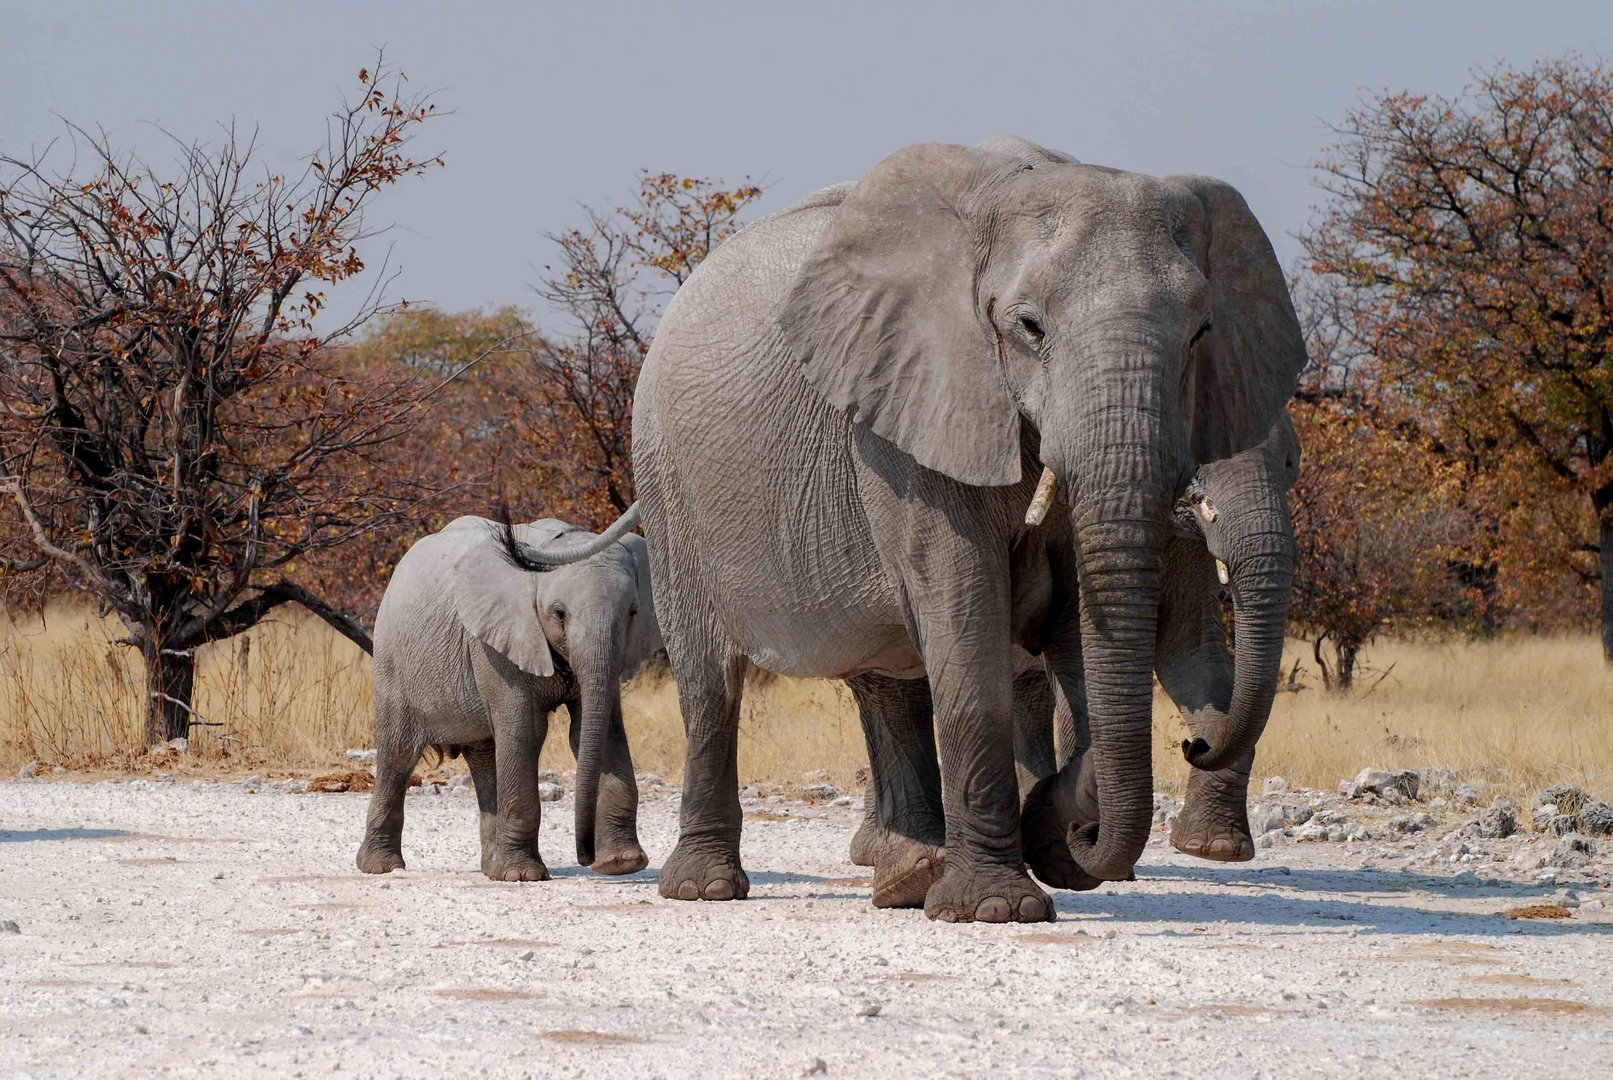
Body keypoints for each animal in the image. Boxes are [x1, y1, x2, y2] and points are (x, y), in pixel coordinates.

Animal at [356, 515, 658, 876]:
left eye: (633, 613)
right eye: (559, 613)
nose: (586, 857)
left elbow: (598, 731)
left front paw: (622, 863)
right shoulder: (497, 643)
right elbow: (526, 731)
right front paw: (523, 875)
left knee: (484, 755)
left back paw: (491, 867)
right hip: (392, 660)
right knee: (398, 753)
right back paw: (382, 866)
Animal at [535, 139, 1303, 928]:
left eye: (1201, 333)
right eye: (1028, 327)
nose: (1194, 743)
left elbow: (1081, 636)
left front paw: (1050, 842)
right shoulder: (911, 411)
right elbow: (968, 613)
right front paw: (996, 907)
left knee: (890, 679)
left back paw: (906, 875)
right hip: (669, 484)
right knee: (710, 679)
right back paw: (709, 887)